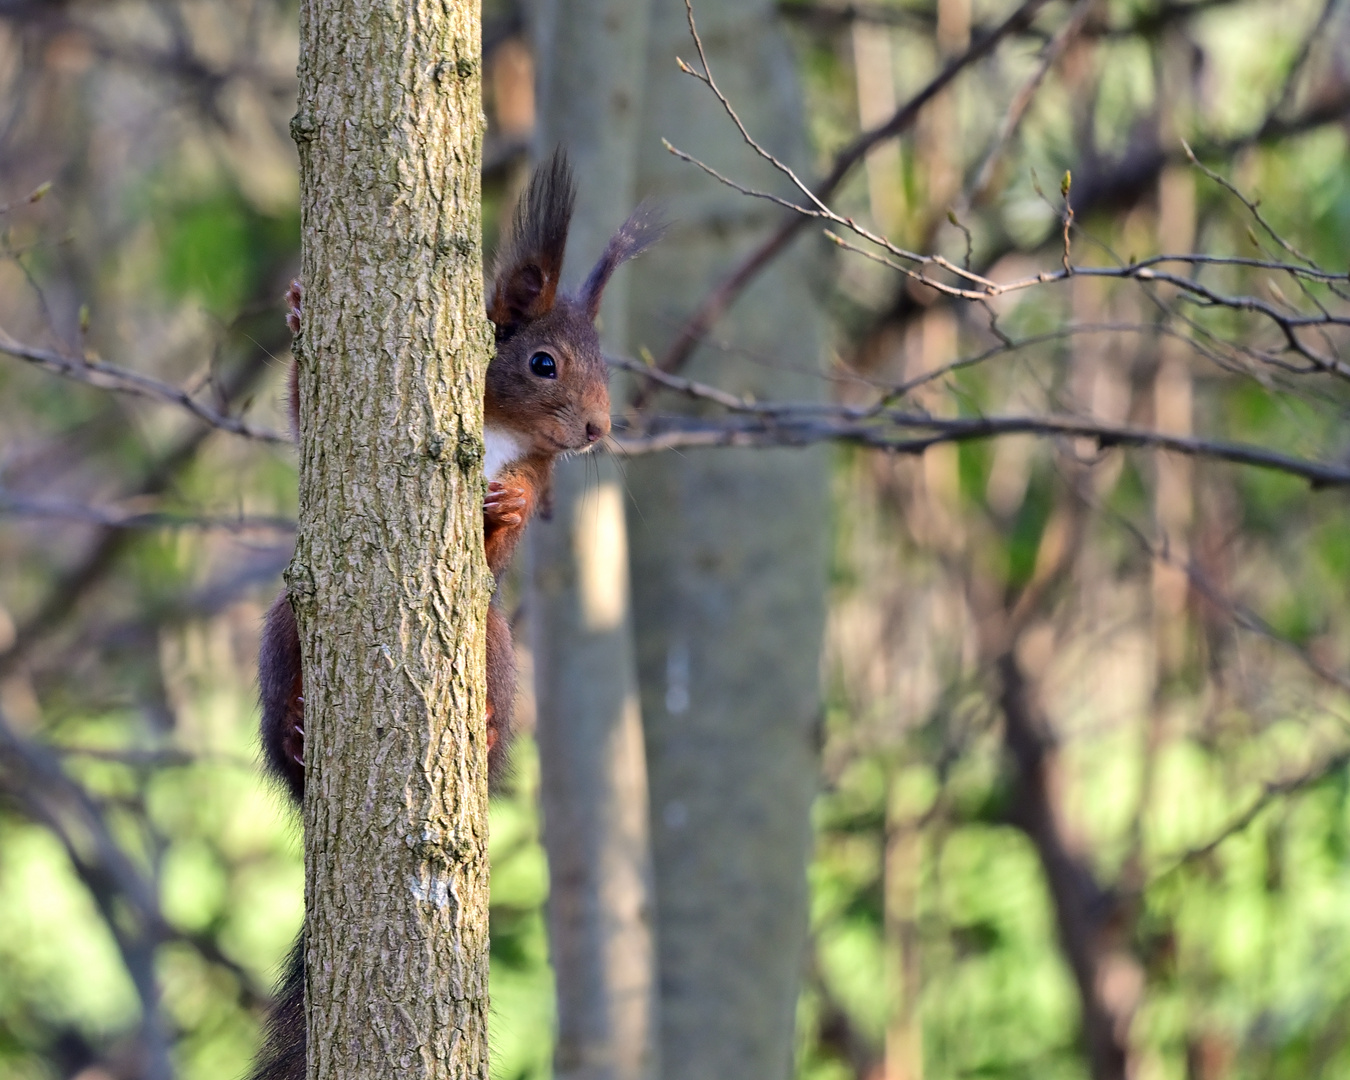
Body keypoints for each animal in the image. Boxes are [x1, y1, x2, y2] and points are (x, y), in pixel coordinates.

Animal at [249, 149, 664, 1080]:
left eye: (607, 367)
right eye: (544, 362)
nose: (599, 429)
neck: (504, 427)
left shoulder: (538, 479)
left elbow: (505, 540)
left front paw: (507, 507)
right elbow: (300, 420)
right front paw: (295, 310)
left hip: (497, 645)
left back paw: (484, 728)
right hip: (287, 625)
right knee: (285, 744)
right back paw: (297, 734)